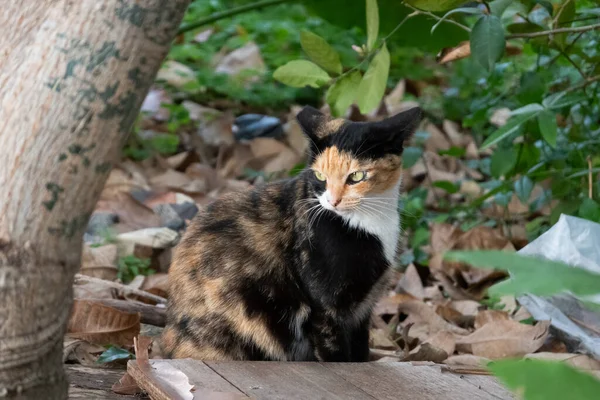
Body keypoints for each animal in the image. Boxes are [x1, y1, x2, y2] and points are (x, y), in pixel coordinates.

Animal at [161, 104, 422, 360]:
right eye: (319, 176)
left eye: (357, 176)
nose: (333, 201)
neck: (368, 222)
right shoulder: (326, 307)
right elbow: (336, 353)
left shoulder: (363, 309)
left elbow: (360, 352)